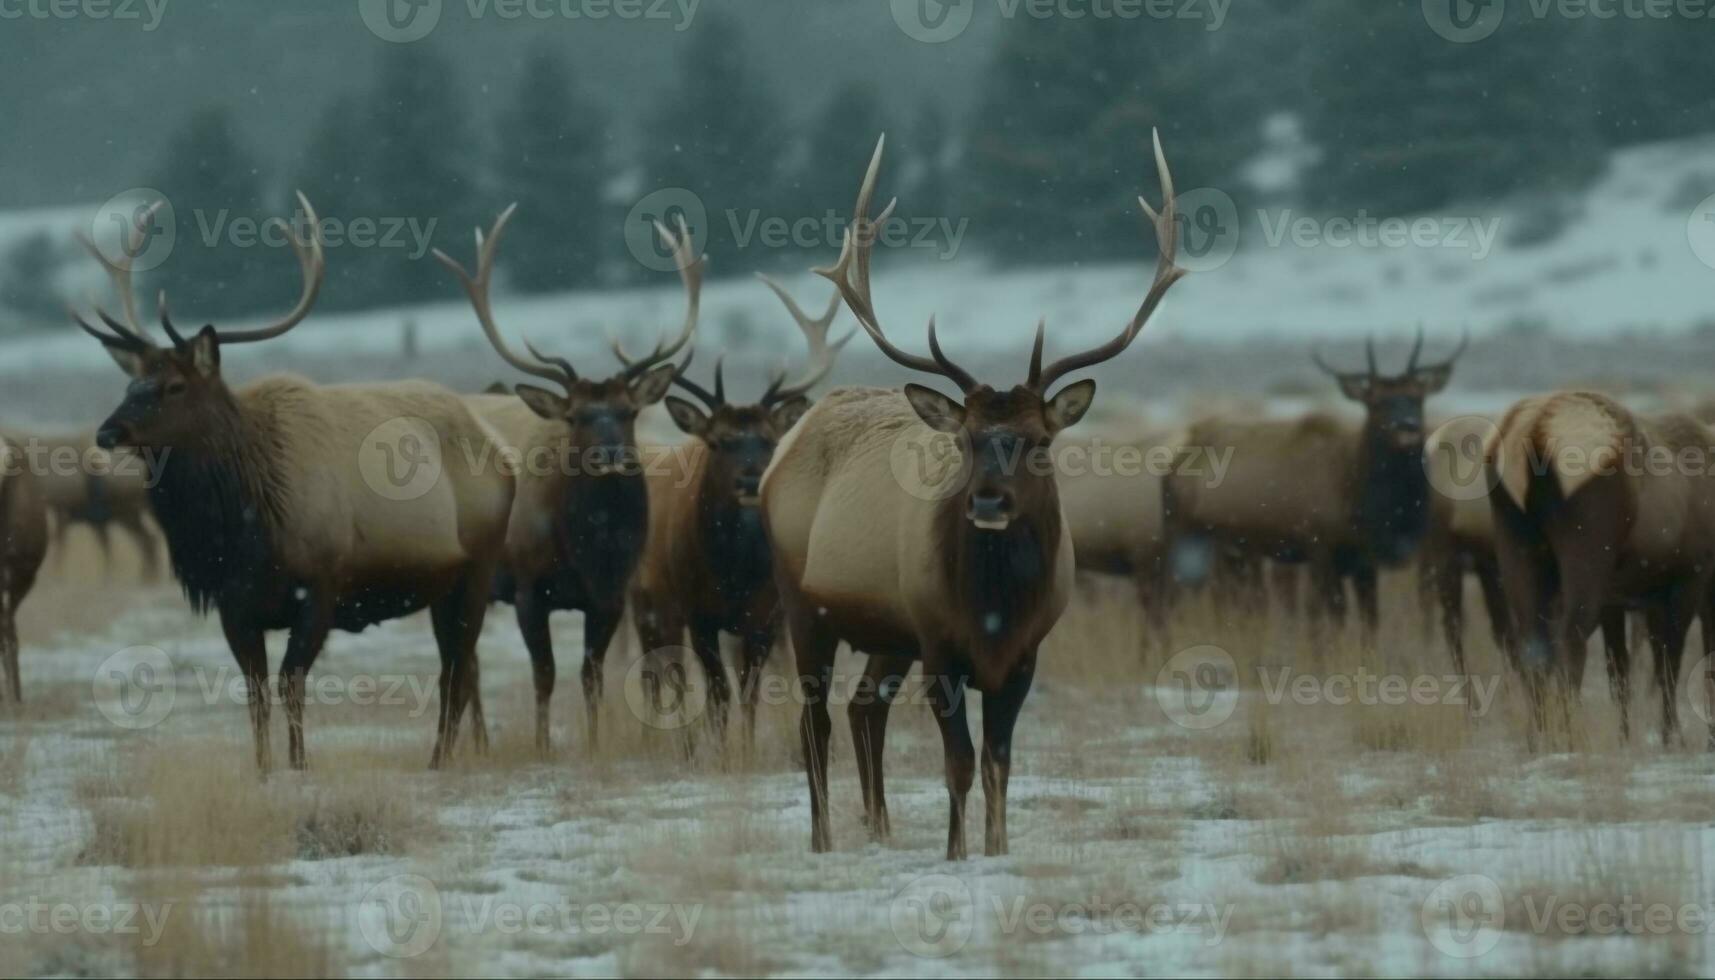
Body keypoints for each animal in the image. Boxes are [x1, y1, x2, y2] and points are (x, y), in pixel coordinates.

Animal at [78, 195, 507, 772]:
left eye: (174, 386)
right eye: (130, 383)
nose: (107, 431)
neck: (240, 528)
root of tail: (500, 452)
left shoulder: (321, 586)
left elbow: (291, 684)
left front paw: (300, 765)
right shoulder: (235, 606)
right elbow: (255, 692)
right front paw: (263, 769)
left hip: (479, 569)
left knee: (455, 672)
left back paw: (438, 760)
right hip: (444, 586)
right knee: (457, 670)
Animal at [439, 203, 699, 748]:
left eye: (628, 411)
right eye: (577, 416)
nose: (610, 455)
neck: (588, 548)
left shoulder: (610, 594)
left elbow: (591, 673)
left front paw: (596, 742)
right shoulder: (526, 588)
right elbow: (545, 673)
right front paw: (542, 745)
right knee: (467, 660)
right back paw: (480, 743)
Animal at [627, 272, 847, 741]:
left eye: (768, 439)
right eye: (719, 441)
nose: (749, 478)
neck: (733, 573)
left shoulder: (765, 617)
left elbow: (749, 692)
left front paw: (744, 744)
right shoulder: (698, 613)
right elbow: (717, 692)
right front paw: (720, 744)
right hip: (647, 597)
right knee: (657, 673)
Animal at [758, 132, 1186, 858]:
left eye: (1039, 438)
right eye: (964, 439)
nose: (987, 503)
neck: (994, 609)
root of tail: (785, 445)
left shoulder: (1025, 654)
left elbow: (998, 762)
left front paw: (997, 847)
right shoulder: (938, 643)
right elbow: (957, 762)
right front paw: (957, 852)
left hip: (886, 631)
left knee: (863, 707)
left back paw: (879, 825)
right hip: (802, 603)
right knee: (813, 723)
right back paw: (822, 840)